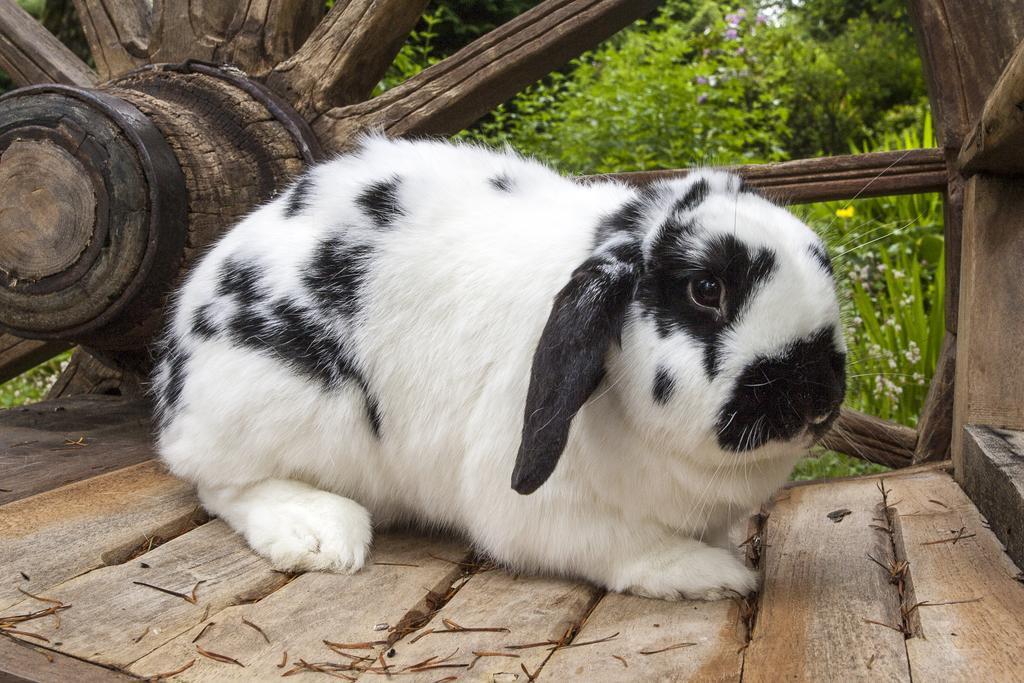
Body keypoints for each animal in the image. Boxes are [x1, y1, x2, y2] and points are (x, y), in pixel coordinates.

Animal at [151, 132, 843, 598]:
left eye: (821, 257)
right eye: (706, 289)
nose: (818, 393)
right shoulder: (546, 512)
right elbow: (626, 547)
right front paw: (715, 574)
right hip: (278, 403)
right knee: (220, 482)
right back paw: (320, 535)